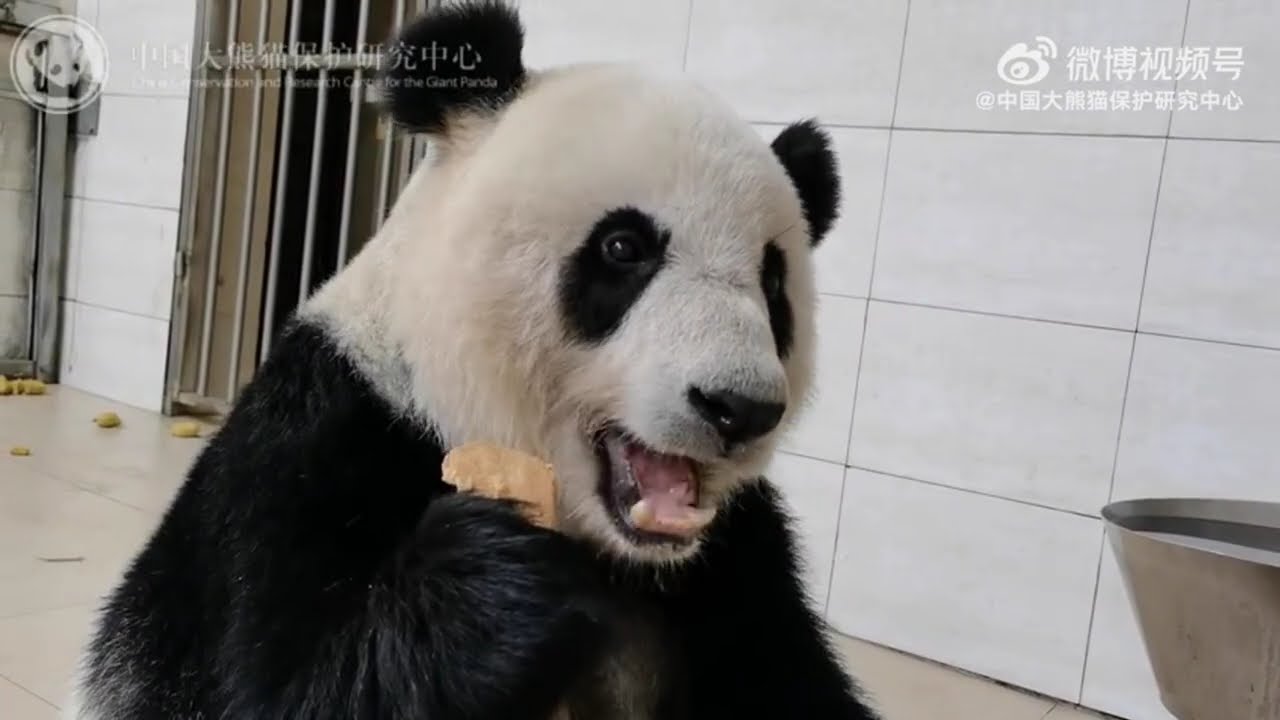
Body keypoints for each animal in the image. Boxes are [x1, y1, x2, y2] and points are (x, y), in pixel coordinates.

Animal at [70, 3, 881, 719]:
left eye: (773, 286)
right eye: (624, 248)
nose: (739, 408)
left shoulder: (739, 567)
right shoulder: (315, 448)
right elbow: (268, 689)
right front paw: (499, 576)